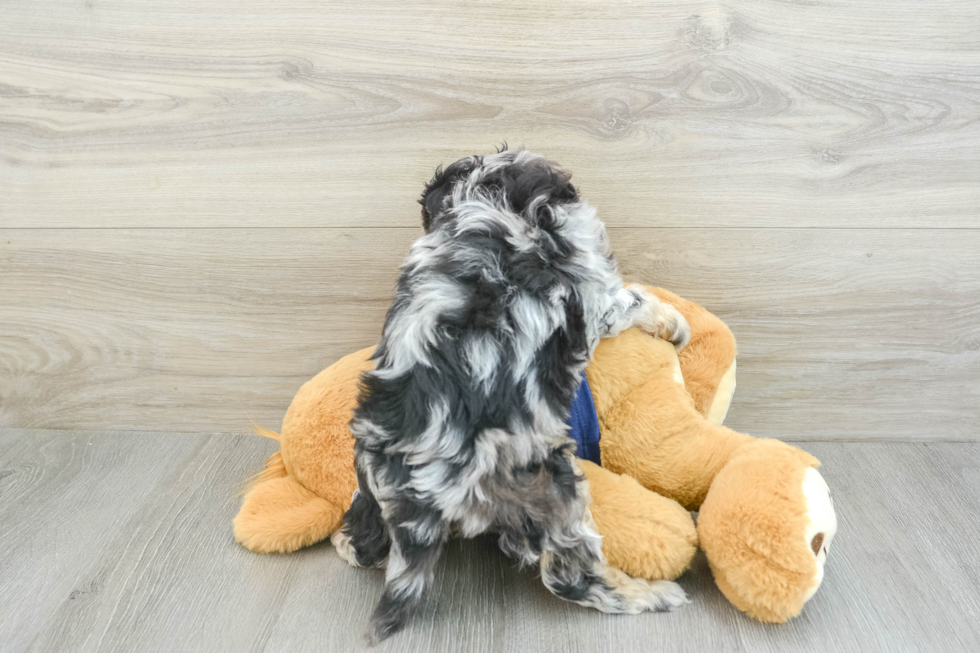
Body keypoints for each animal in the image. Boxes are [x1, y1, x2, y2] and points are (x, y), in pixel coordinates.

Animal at [334, 148, 692, 640]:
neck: (487, 195)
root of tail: (419, 489)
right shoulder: (594, 293)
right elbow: (631, 299)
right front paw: (673, 321)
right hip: (552, 489)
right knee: (569, 578)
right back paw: (651, 594)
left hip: (368, 468)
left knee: (365, 521)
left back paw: (348, 542)